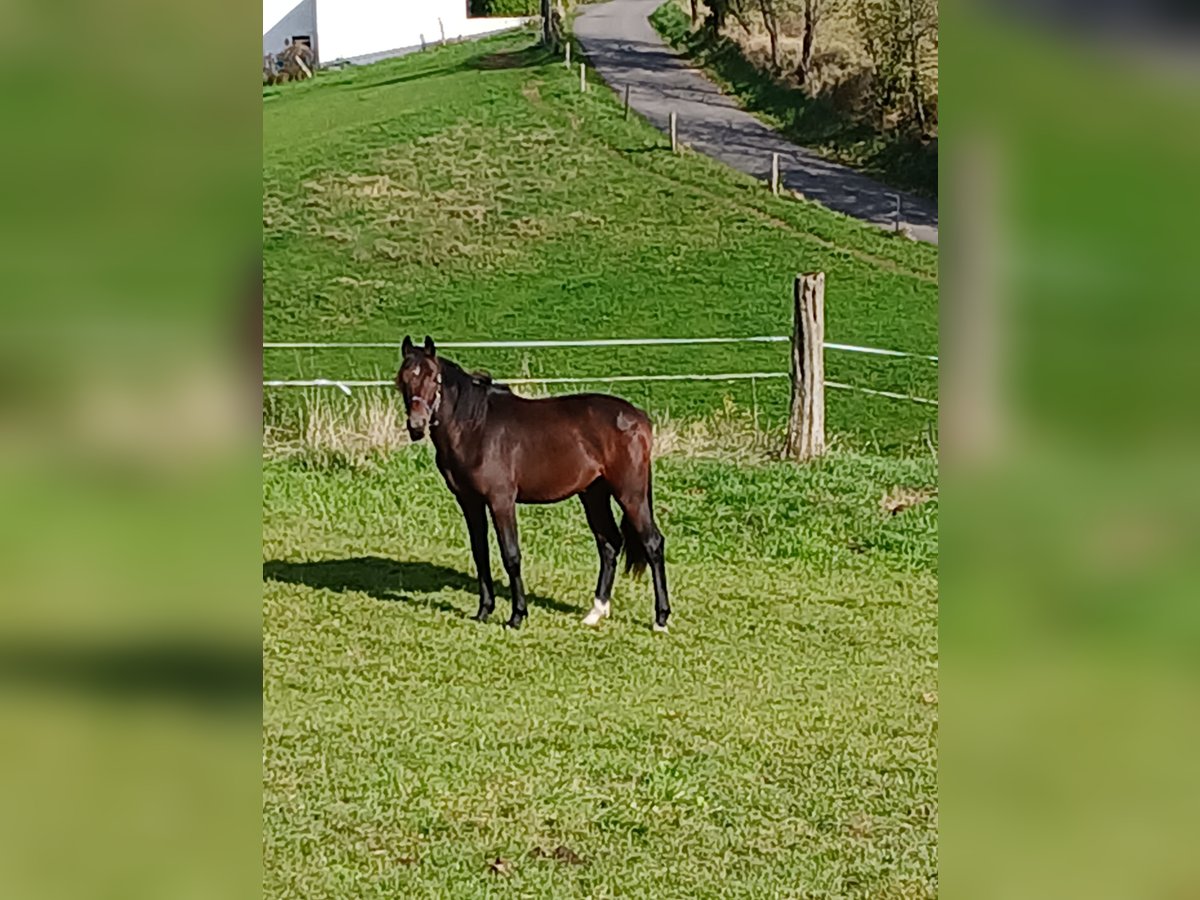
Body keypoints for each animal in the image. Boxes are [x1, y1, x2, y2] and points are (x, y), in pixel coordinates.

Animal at [396, 336, 672, 628]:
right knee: (609, 543)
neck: (475, 427)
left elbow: (511, 554)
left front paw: (517, 615)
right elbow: (480, 553)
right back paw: (595, 612)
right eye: (403, 377)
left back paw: (660, 618)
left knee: (653, 543)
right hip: (594, 493)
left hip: (630, 493)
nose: (416, 425)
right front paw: (484, 611)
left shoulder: (501, 500)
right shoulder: (469, 502)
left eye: (433, 377)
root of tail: (639, 418)